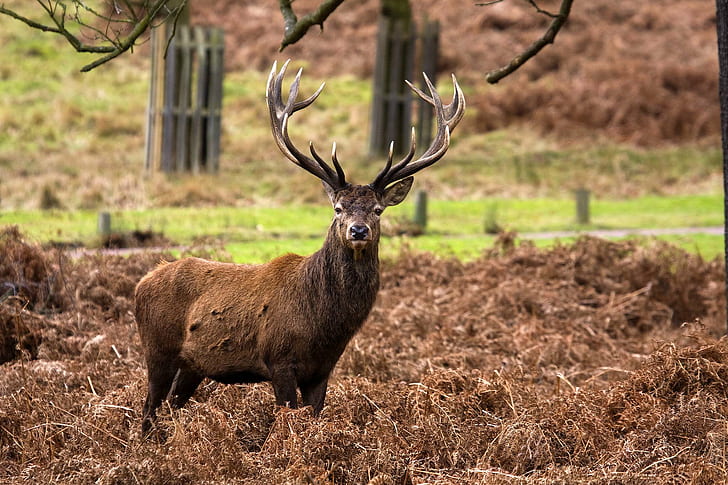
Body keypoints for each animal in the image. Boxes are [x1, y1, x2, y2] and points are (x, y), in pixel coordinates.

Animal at [135, 59, 466, 434]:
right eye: (338, 208)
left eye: (378, 209)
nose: (358, 230)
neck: (323, 325)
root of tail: (142, 281)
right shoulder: (278, 359)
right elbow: (286, 418)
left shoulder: (322, 370)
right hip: (158, 349)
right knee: (149, 407)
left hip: (193, 364)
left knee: (171, 405)